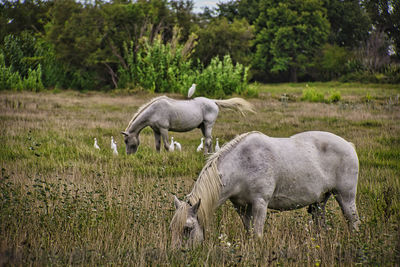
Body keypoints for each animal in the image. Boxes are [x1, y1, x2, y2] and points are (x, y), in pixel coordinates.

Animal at [120, 96, 255, 155]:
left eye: (126, 141)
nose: (128, 154)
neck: (155, 110)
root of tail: (213, 101)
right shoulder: (156, 131)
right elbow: (158, 145)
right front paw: (158, 157)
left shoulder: (164, 129)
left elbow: (167, 145)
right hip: (203, 127)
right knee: (210, 140)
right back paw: (211, 155)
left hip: (208, 125)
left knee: (207, 141)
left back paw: (205, 154)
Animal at [169, 131, 360, 248]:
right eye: (172, 228)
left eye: (187, 229)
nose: (176, 255)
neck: (241, 165)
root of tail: (349, 145)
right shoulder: (241, 207)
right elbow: (249, 232)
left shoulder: (260, 203)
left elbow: (258, 234)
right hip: (320, 202)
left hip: (345, 197)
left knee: (354, 221)